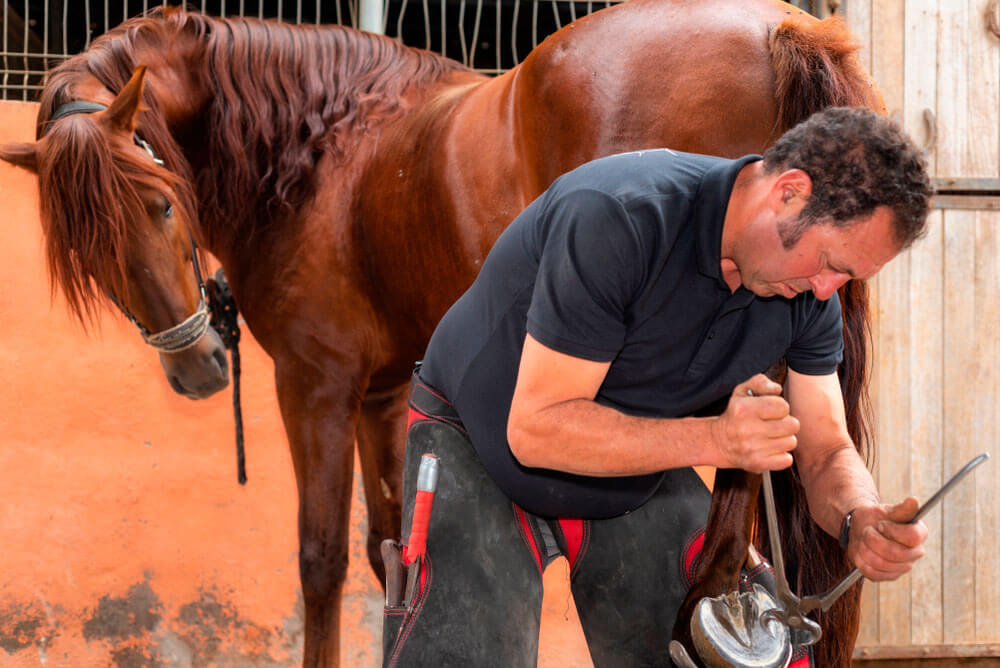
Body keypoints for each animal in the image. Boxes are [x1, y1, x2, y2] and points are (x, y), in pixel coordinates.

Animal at [3, 2, 884, 664]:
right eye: (85, 254)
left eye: (160, 203)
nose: (196, 371)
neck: (319, 154)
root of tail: (777, 28)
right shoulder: (384, 395)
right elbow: (389, 550)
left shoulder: (315, 386)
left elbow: (321, 562)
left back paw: (714, 588)